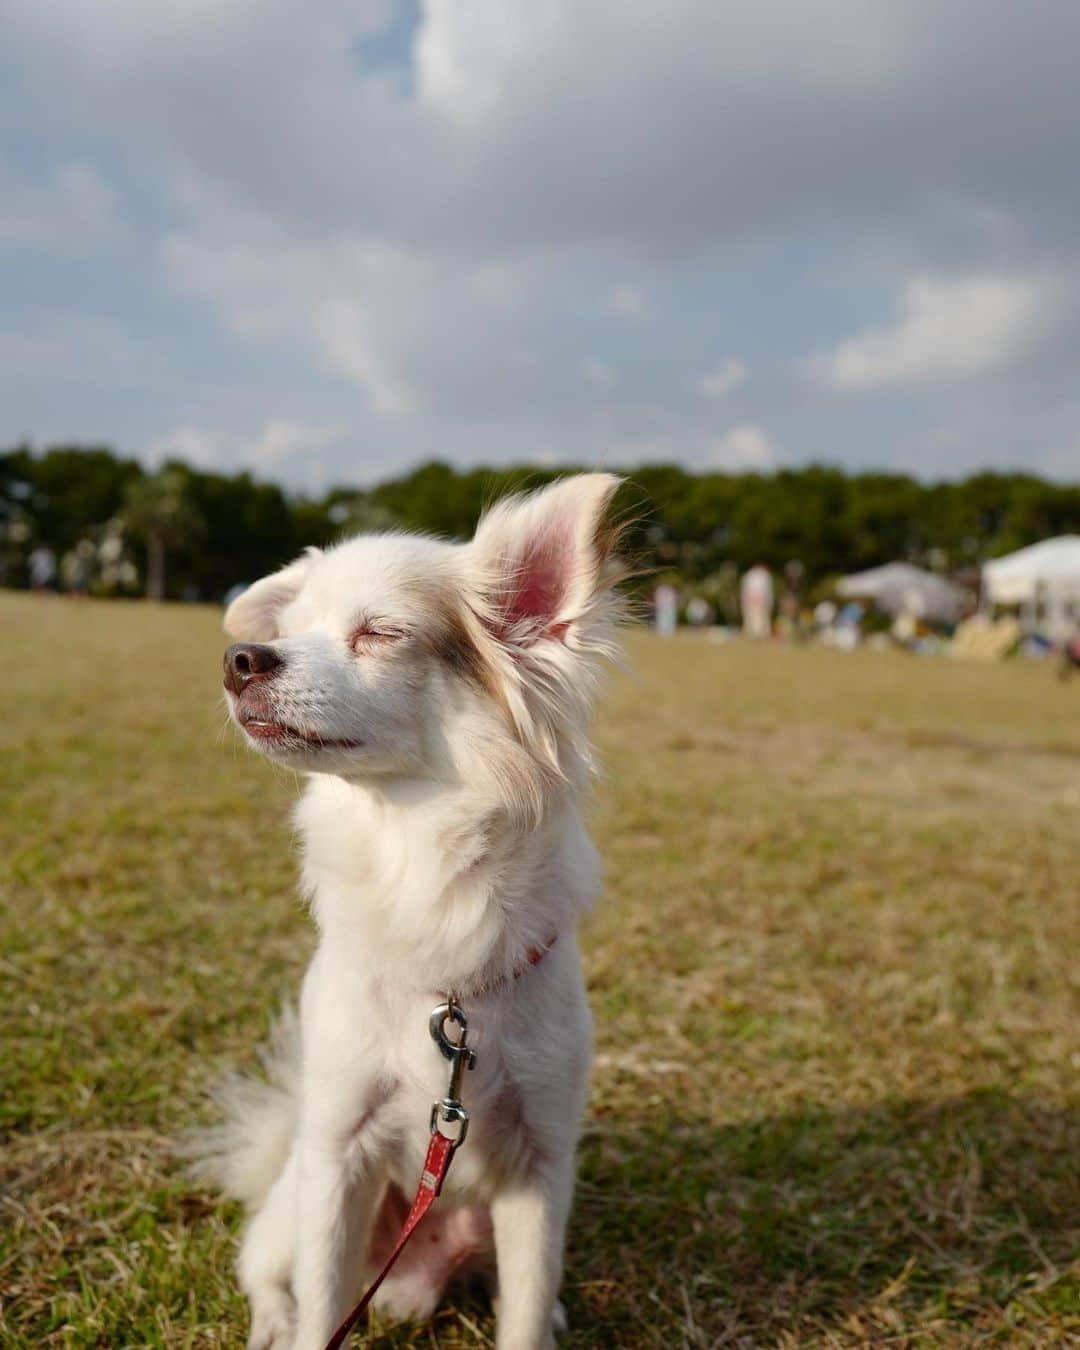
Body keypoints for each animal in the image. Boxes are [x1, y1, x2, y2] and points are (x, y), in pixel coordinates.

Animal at [195, 477, 623, 1350]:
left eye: (379, 634)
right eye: (289, 632)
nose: (239, 658)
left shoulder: (541, 1169)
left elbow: (524, 1310)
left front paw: (539, 1319)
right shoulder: (339, 1152)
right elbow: (324, 1298)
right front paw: (303, 1326)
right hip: (297, 1195)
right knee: (267, 1271)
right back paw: (274, 1320)